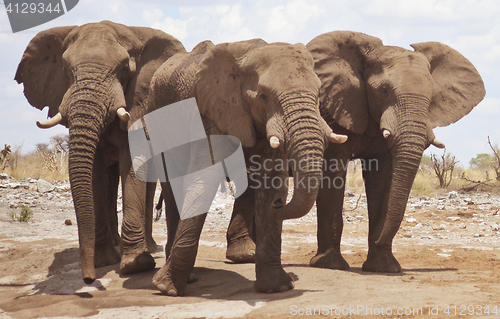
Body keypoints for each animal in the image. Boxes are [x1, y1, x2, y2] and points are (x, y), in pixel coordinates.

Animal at [16, 21, 188, 284]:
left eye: (124, 69)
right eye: (65, 70)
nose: (88, 279)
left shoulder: (139, 101)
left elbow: (131, 163)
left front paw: (135, 265)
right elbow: (95, 174)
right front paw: (104, 261)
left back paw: (148, 247)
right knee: (109, 180)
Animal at [133, 38, 350, 296]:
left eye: (318, 95)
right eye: (264, 96)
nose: (280, 205)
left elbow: (271, 180)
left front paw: (276, 288)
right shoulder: (212, 113)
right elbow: (204, 179)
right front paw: (166, 289)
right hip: (157, 117)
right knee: (172, 183)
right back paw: (188, 278)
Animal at [304, 31, 484, 274]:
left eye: (431, 96)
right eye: (383, 91)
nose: (379, 240)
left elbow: (383, 180)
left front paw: (383, 268)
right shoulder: (333, 111)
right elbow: (333, 174)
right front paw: (330, 266)